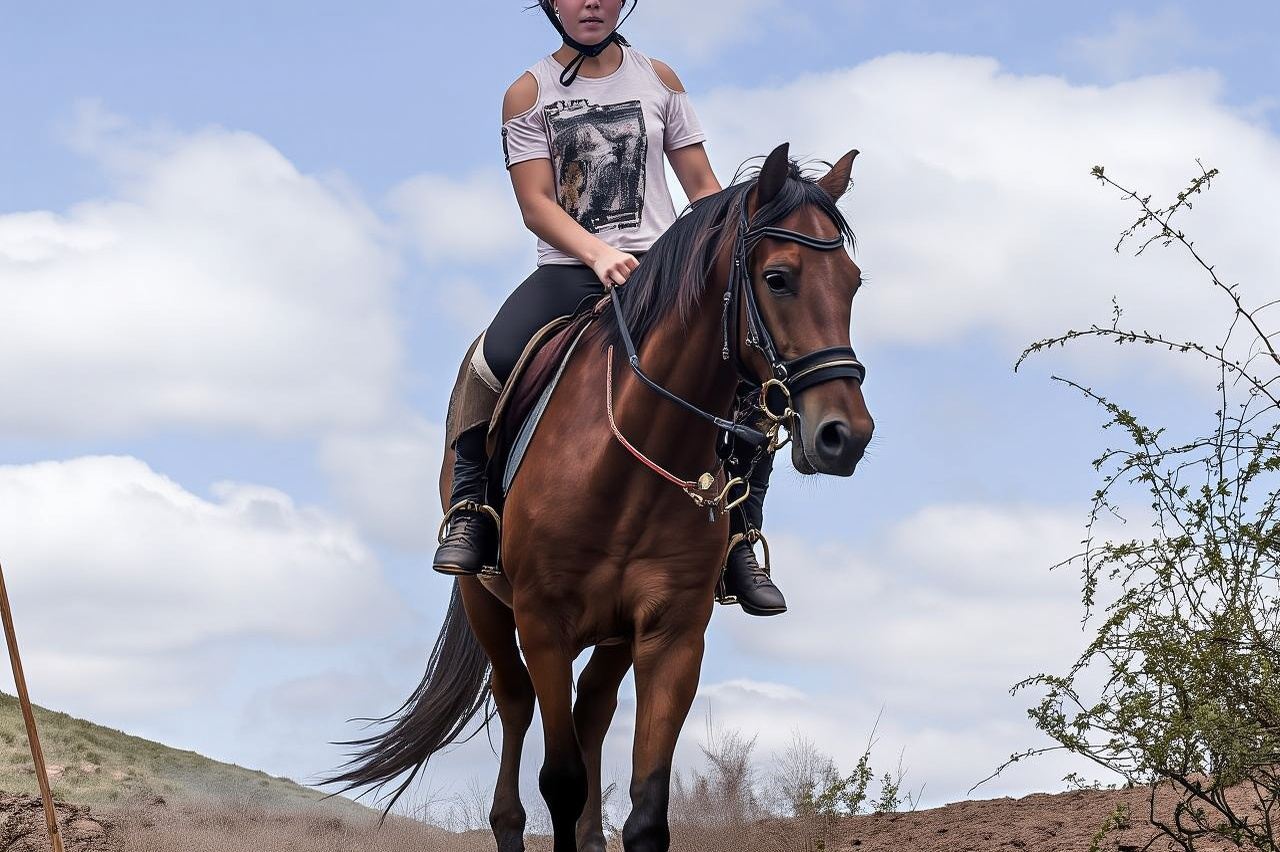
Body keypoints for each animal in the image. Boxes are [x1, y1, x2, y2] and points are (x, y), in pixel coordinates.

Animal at [324, 141, 873, 852]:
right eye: (778, 278)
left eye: (853, 283)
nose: (845, 435)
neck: (630, 459)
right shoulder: (544, 623)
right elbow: (560, 780)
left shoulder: (672, 634)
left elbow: (645, 809)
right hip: (487, 602)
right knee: (517, 703)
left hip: (611, 636)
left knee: (593, 710)